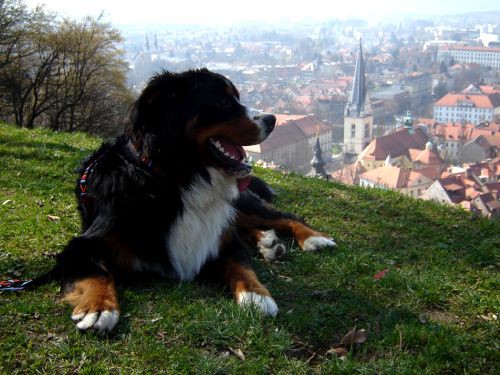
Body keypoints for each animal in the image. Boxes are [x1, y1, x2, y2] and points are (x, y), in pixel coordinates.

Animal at [47, 70, 336, 334]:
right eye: (223, 101)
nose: (272, 119)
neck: (178, 180)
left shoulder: (219, 241)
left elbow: (240, 265)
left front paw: (257, 294)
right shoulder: (82, 245)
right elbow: (96, 272)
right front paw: (98, 308)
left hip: (241, 203)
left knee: (286, 217)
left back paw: (312, 238)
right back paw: (268, 241)